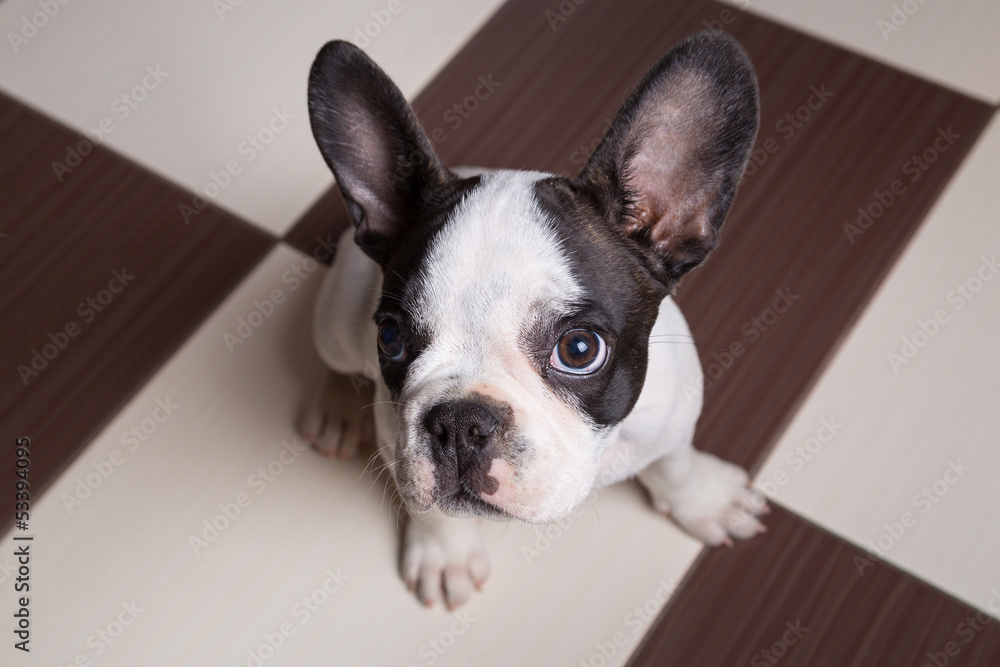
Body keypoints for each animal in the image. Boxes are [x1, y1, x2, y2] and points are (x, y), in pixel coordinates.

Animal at [302, 31, 764, 612]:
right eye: (389, 337)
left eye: (580, 350)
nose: (460, 421)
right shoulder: (396, 438)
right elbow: (430, 509)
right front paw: (446, 553)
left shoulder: (673, 415)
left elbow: (675, 461)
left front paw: (704, 501)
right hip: (337, 319)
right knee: (332, 358)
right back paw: (335, 408)